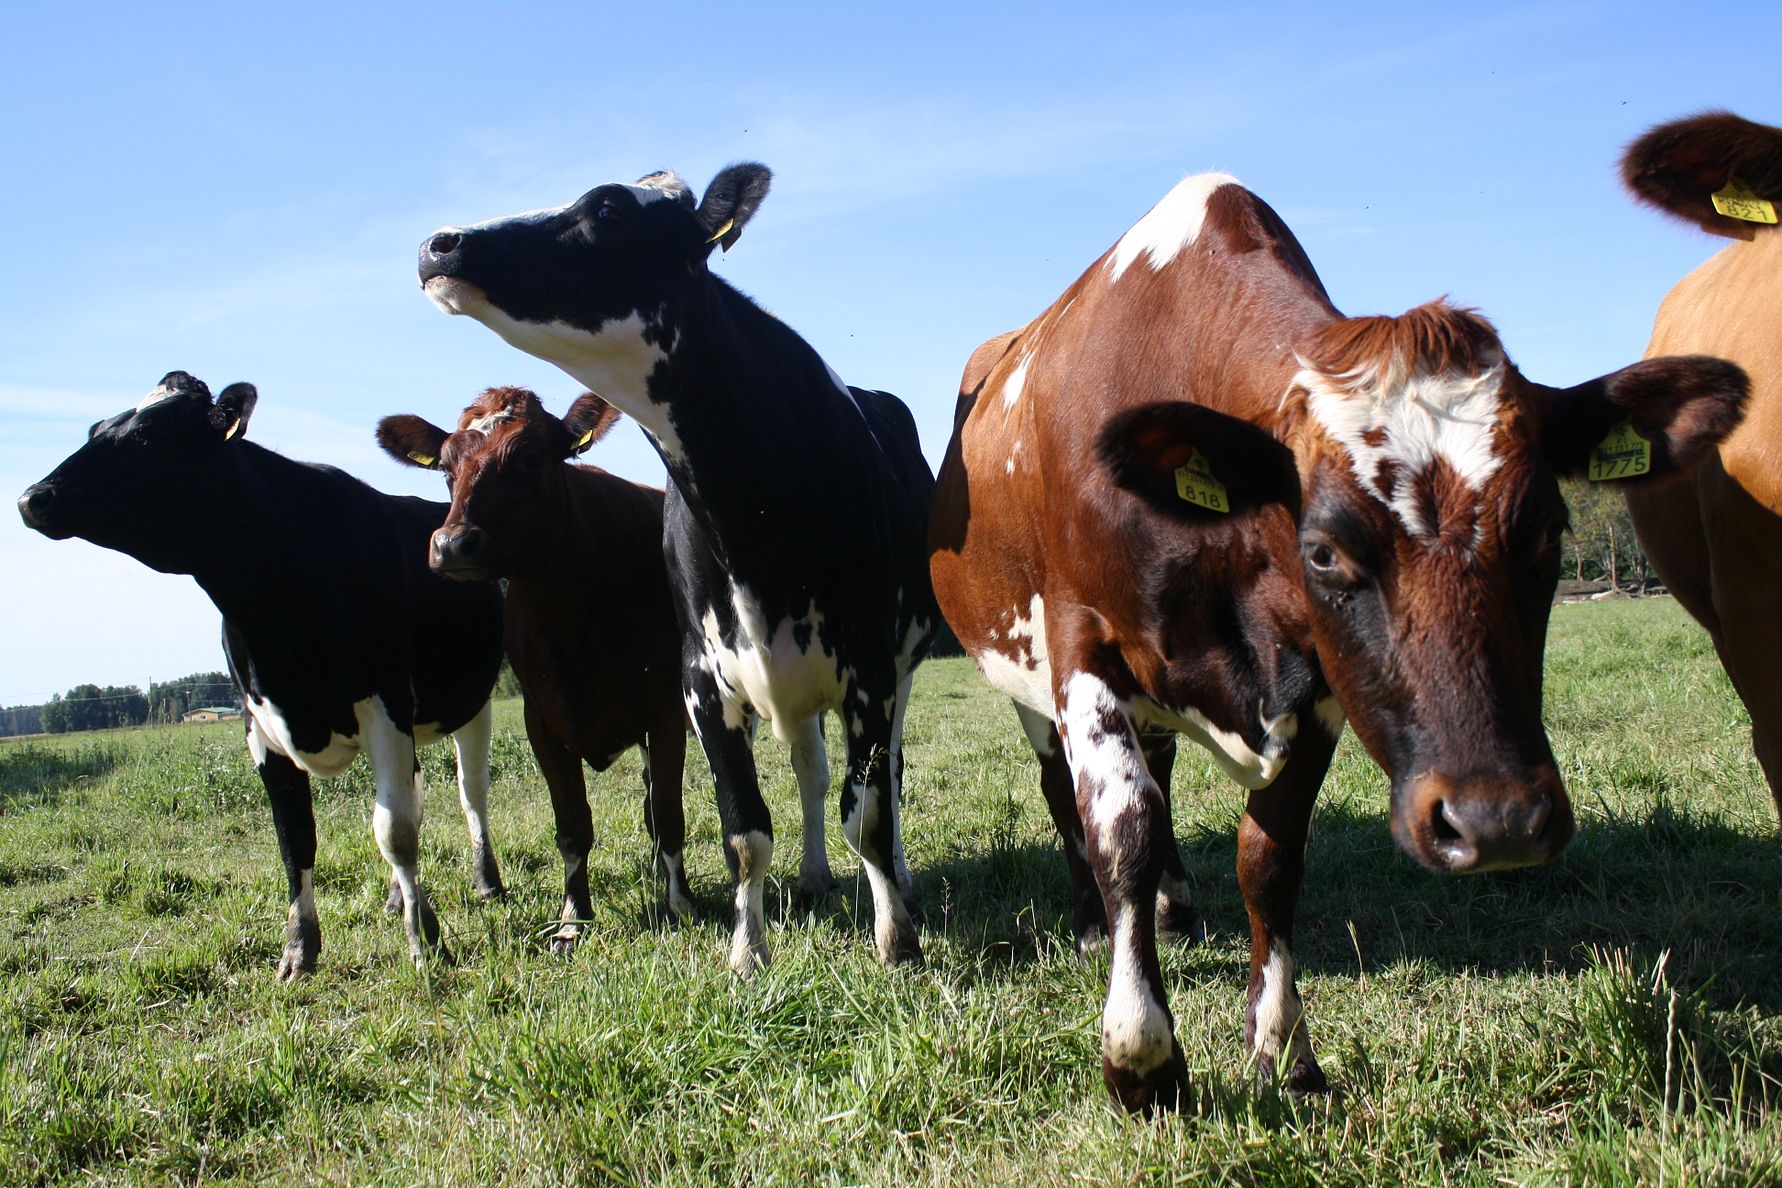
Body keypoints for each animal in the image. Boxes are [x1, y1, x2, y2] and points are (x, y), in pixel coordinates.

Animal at [19, 375, 509, 983]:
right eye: (94, 429)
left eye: (148, 438)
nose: (33, 497)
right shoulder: (259, 724)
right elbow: (295, 839)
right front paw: (300, 950)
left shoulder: (386, 703)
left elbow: (393, 831)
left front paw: (424, 941)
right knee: (417, 793)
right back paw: (398, 897)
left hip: (473, 701)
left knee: (471, 790)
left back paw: (486, 882)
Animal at [379, 390, 691, 954]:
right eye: (446, 470)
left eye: (527, 459)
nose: (452, 544)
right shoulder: (541, 722)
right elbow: (571, 826)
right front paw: (573, 918)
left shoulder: (665, 709)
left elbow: (669, 812)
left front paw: (680, 905)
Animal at [422, 162, 940, 968]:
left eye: (608, 210)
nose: (440, 244)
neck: (751, 512)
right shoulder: (701, 678)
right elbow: (744, 830)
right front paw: (748, 952)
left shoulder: (868, 665)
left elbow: (869, 813)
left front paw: (896, 941)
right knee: (812, 771)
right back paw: (814, 875)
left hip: (901, 665)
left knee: (880, 776)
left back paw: (898, 883)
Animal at [940, 171, 1746, 1111]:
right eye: (1324, 549)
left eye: (1549, 528)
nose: (1498, 821)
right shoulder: (1082, 647)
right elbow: (1123, 831)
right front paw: (1142, 1056)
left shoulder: (1320, 686)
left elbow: (1270, 857)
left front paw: (1283, 1048)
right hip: (1025, 675)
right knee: (1065, 797)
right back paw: (1090, 927)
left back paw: (1177, 909)